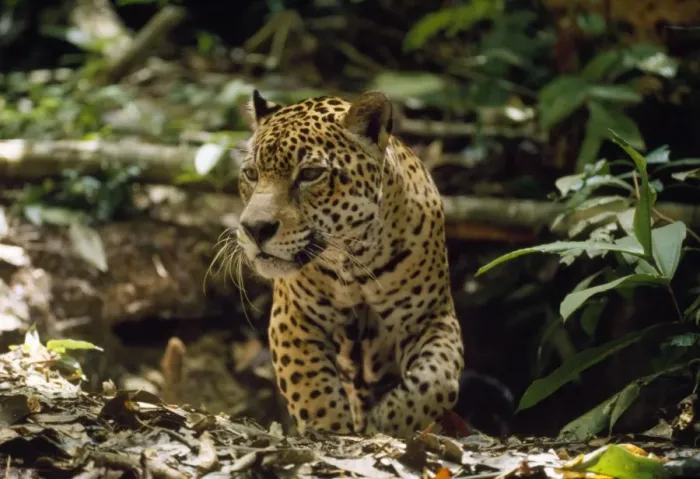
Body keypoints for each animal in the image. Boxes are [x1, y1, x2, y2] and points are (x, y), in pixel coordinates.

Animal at [231, 89, 465, 438]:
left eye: (310, 174)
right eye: (251, 174)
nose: (255, 228)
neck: (356, 260)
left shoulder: (431, 316)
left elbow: (437, 380)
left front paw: (389, 420)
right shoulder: (293, 317)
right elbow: (309, 382)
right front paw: (329, 427)